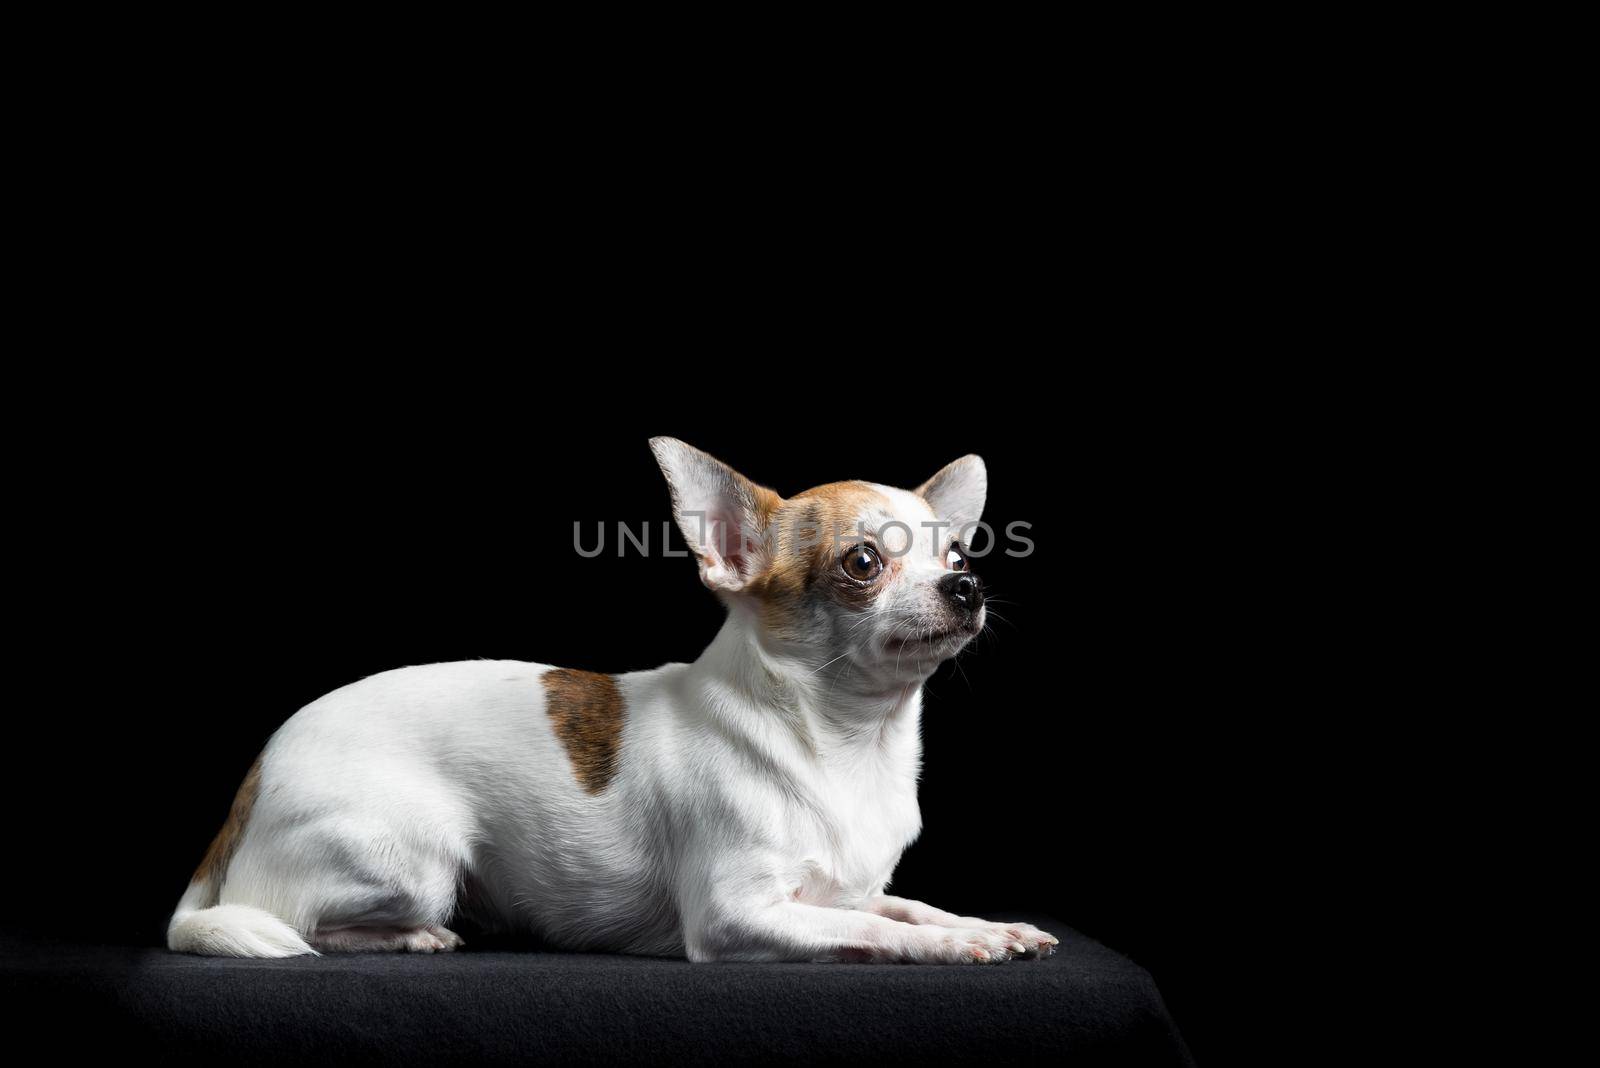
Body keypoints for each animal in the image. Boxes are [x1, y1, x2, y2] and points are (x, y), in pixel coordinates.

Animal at [168, 438, 1056, 965]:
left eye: (957, 552)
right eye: (864, 561)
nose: (967, 586)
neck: (846, 743)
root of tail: (255, 777)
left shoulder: (848, 888)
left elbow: (910, 907)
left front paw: (986, 927)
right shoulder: (736, 916)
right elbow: (870, 931)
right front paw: (957, 951)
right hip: (417, 854)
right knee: (291, 920)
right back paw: (412, 934)